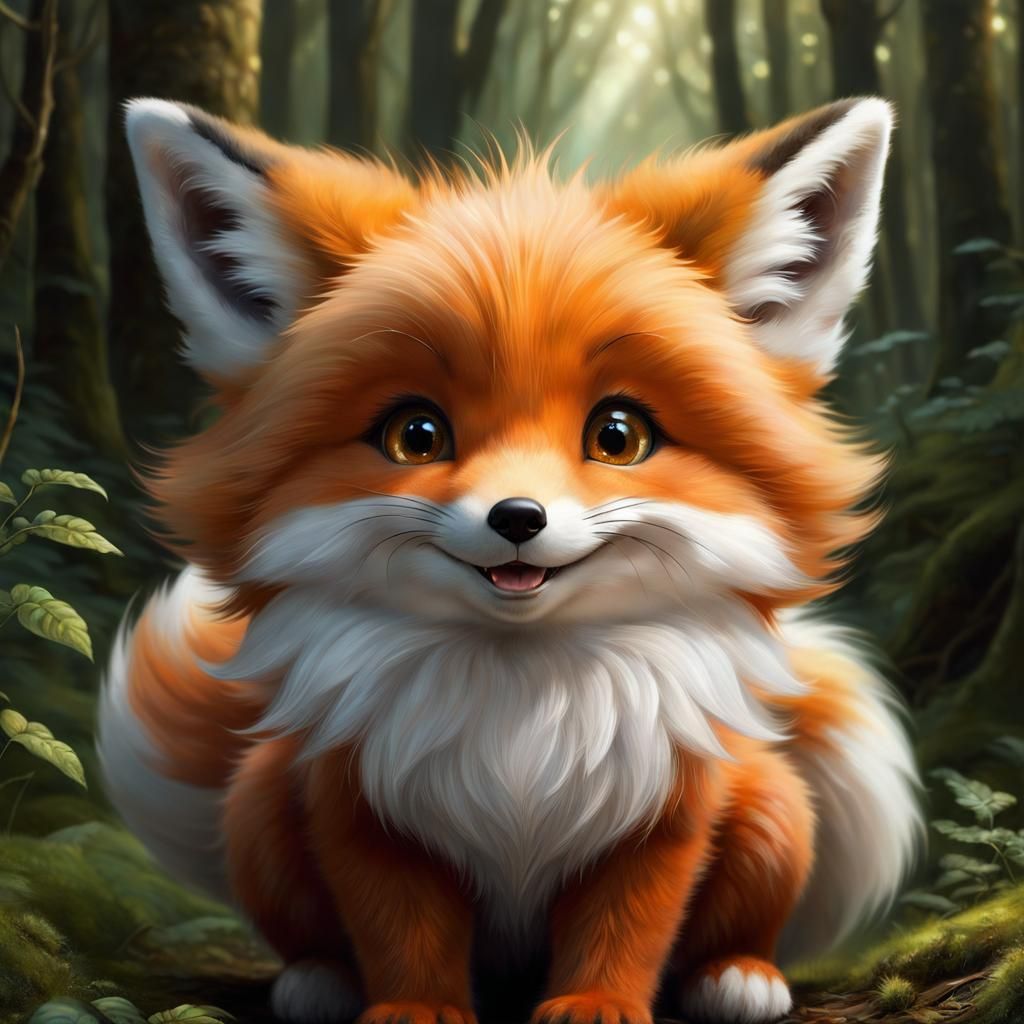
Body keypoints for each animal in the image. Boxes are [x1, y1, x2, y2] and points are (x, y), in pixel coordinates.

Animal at [98, 96, 921, 1024]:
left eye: (618, 435)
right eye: (416, 434)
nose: (518, 517)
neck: (522, 720)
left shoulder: (664, 812)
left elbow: (628, 926)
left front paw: (599, 1004)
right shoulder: (358, 805)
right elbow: (401, 930)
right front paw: (413, 1011)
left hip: (772, 809)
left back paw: (738, 976)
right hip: (262, 803)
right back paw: (318, 981)